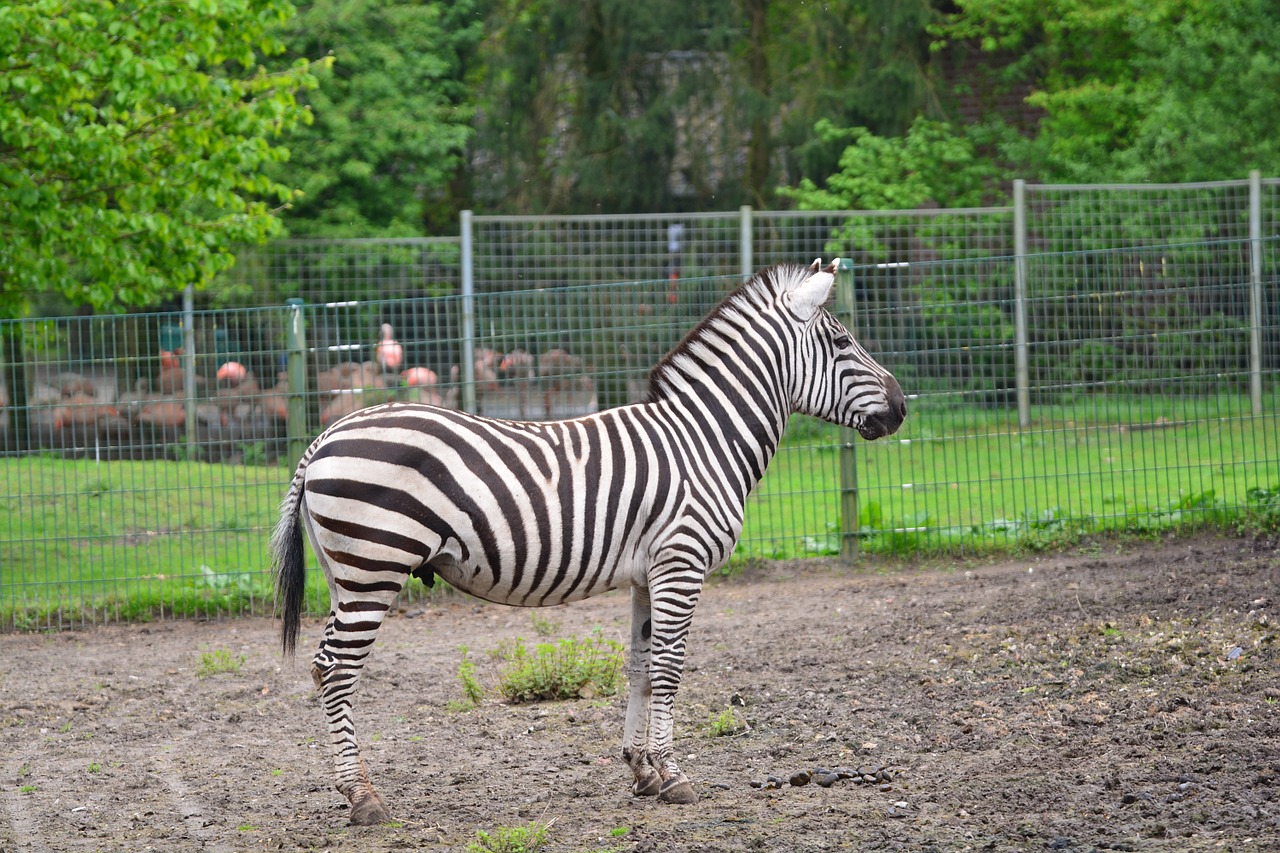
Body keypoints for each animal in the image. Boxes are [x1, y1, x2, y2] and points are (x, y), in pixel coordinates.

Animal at [272, 256, 911, 819]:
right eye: (842, 343)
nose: (903, 408)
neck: (704, 439)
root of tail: (324, 435)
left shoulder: (649, 574)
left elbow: (640, 665)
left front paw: (643, 771)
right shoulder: (682, 563)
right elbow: (670, 668)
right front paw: (674, 776)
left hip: (345, 576)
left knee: (322, 667)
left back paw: (348, 789)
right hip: (373, 569)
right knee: (337, 671)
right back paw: (363, 799)